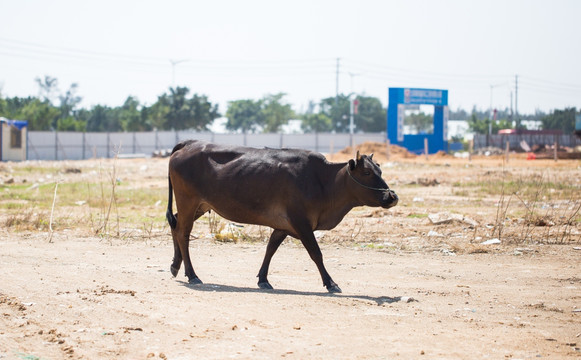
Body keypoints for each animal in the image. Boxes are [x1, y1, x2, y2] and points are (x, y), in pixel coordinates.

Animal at [165, 139, 396, 294]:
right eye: (367, 172)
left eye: (380, 171)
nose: (392, 196)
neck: (323, 180)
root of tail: (191, 143)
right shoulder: (301, 222)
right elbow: (316, 253)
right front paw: (331, 283)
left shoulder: (284, 225)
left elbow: (271, 249)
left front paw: (263, 279)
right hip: (188, 201)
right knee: (183, 233)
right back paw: (192, 275)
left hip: (199, 206)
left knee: (175, 225)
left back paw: (176, 266)